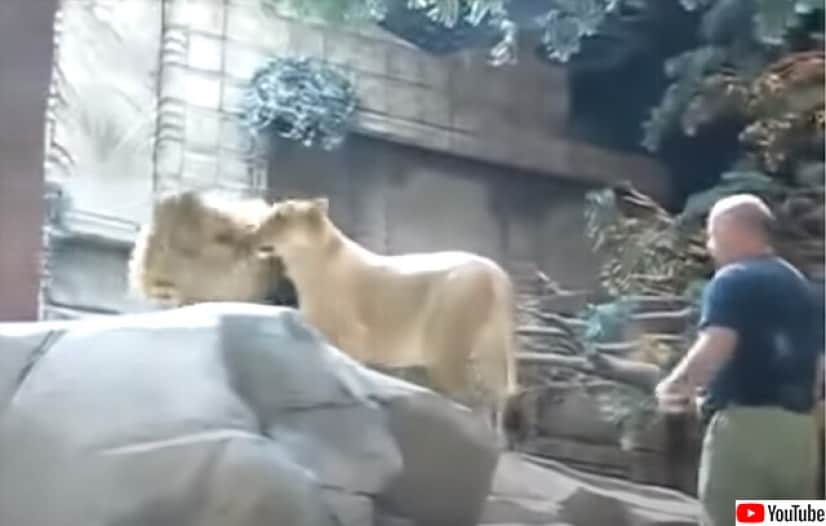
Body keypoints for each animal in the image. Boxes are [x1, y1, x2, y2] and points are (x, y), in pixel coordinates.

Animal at [252, 196, 518, 444]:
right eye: (271, 213)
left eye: (280, 216)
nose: (256, 230)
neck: (315, 264)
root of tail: (497, 274)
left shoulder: (351, 330)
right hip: (489, 343)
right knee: (495, 393)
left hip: (449, 325)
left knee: (470, 395)